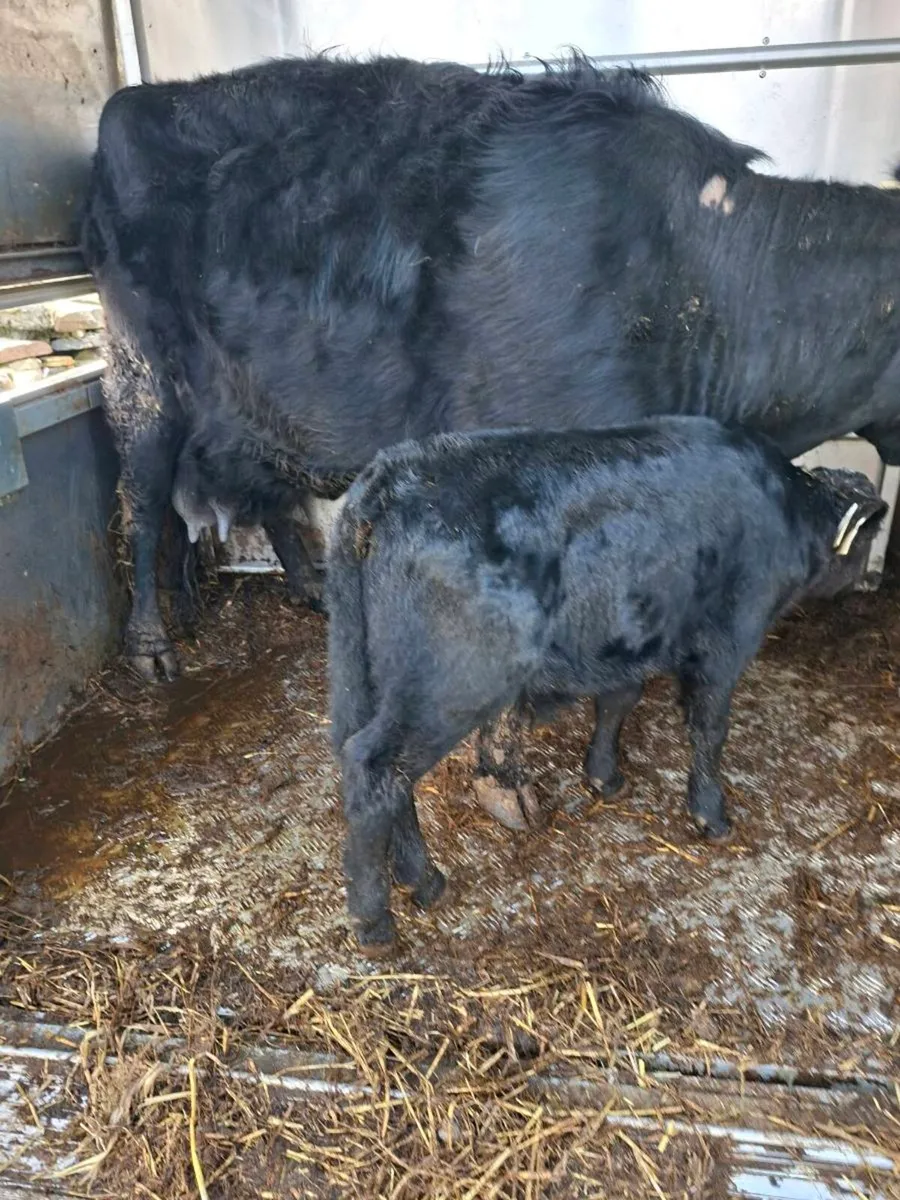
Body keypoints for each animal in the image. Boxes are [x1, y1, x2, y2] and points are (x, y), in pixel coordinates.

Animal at [325, 417, 887, 950]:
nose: (862, 582)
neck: (785, 511)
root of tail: (390, 474)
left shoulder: (629, 640)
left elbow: (619, 700)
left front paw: (604, 776)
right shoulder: (726, 644)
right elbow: (709, 730)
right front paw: (711, 814)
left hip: (372, 678)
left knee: (386, 773)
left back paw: (422, 881)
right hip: (452, 686)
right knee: (376, 769)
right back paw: (377, 919)